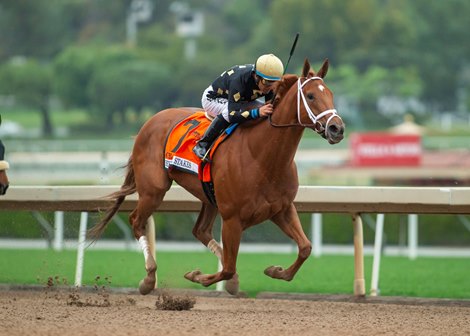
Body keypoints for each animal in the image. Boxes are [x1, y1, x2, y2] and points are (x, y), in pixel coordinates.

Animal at [88, 59, 346, 296]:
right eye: (311, 96)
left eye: (331, 94)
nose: (337, 128)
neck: (262, 157)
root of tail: (149, 123)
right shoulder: (232, 218)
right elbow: (229, 268)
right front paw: (198, 276)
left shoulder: (281, 209)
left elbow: (305, 247)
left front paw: (275, 271)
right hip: (154, 190)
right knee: (136, 221)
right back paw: (149, 278)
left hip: (208, 195)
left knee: (200, 230)